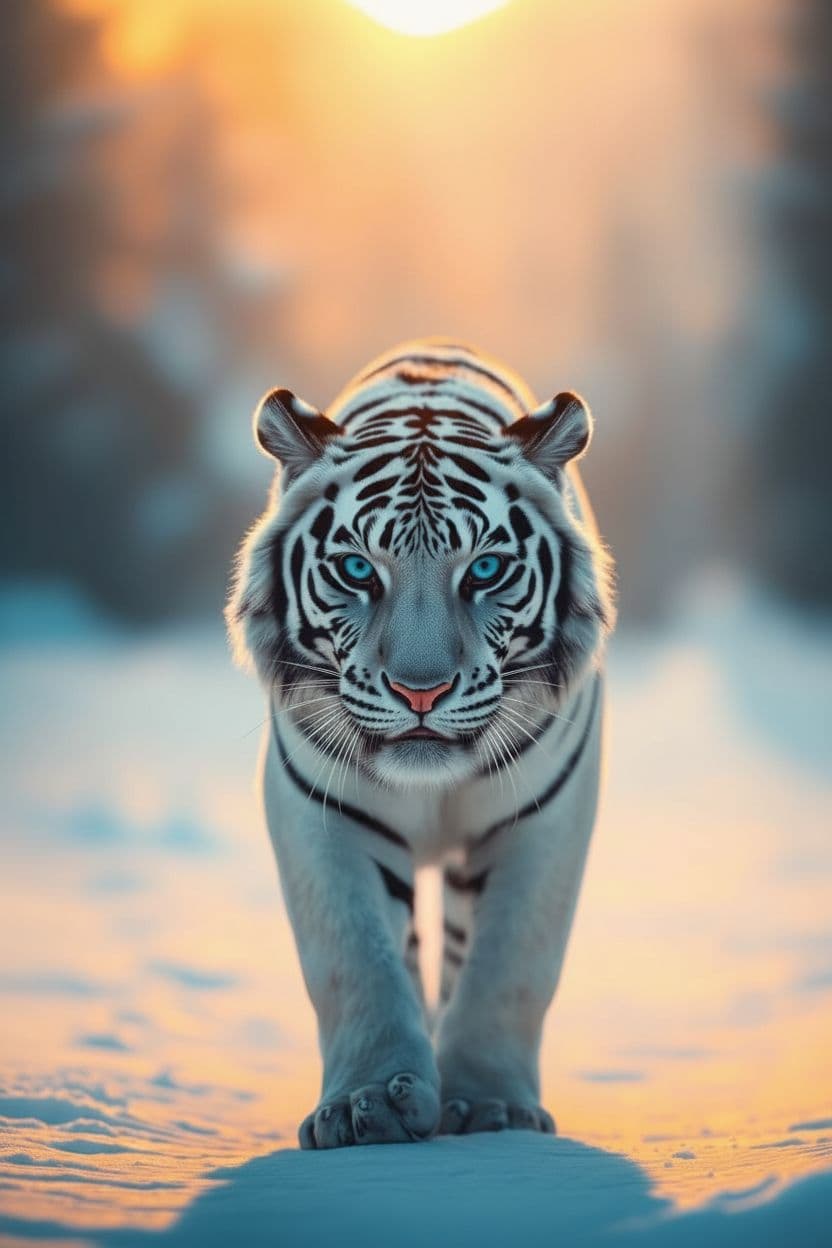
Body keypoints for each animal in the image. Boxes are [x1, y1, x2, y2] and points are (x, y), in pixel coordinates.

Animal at [227, 338, 615, 1148]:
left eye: (486, 569)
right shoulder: (320, 807)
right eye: (356, 569)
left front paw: (493, 1107)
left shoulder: (544, 815)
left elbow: (511, 965)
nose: (420, 694)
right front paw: (366, 1105)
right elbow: (354, 961)